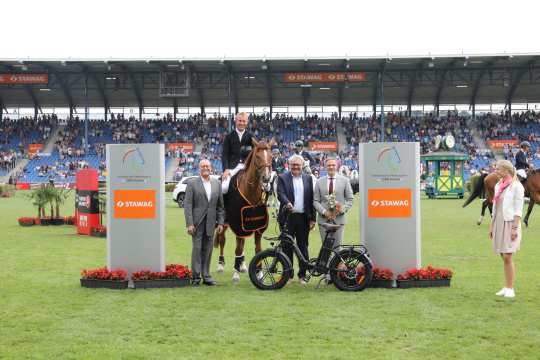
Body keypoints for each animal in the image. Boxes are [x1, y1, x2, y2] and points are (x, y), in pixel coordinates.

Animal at [213, 138, 274, 282]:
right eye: (257, 157)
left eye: (271, 156)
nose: (266, 178)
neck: (251, 190)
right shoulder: (238, 223)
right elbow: (238, 249)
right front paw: (235, 274)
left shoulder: (256, 227)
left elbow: (258, 249)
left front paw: (259, 273)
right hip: (225, 224)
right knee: (223, 240)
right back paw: (221, 265)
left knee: (241, 242)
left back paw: (242, 265)